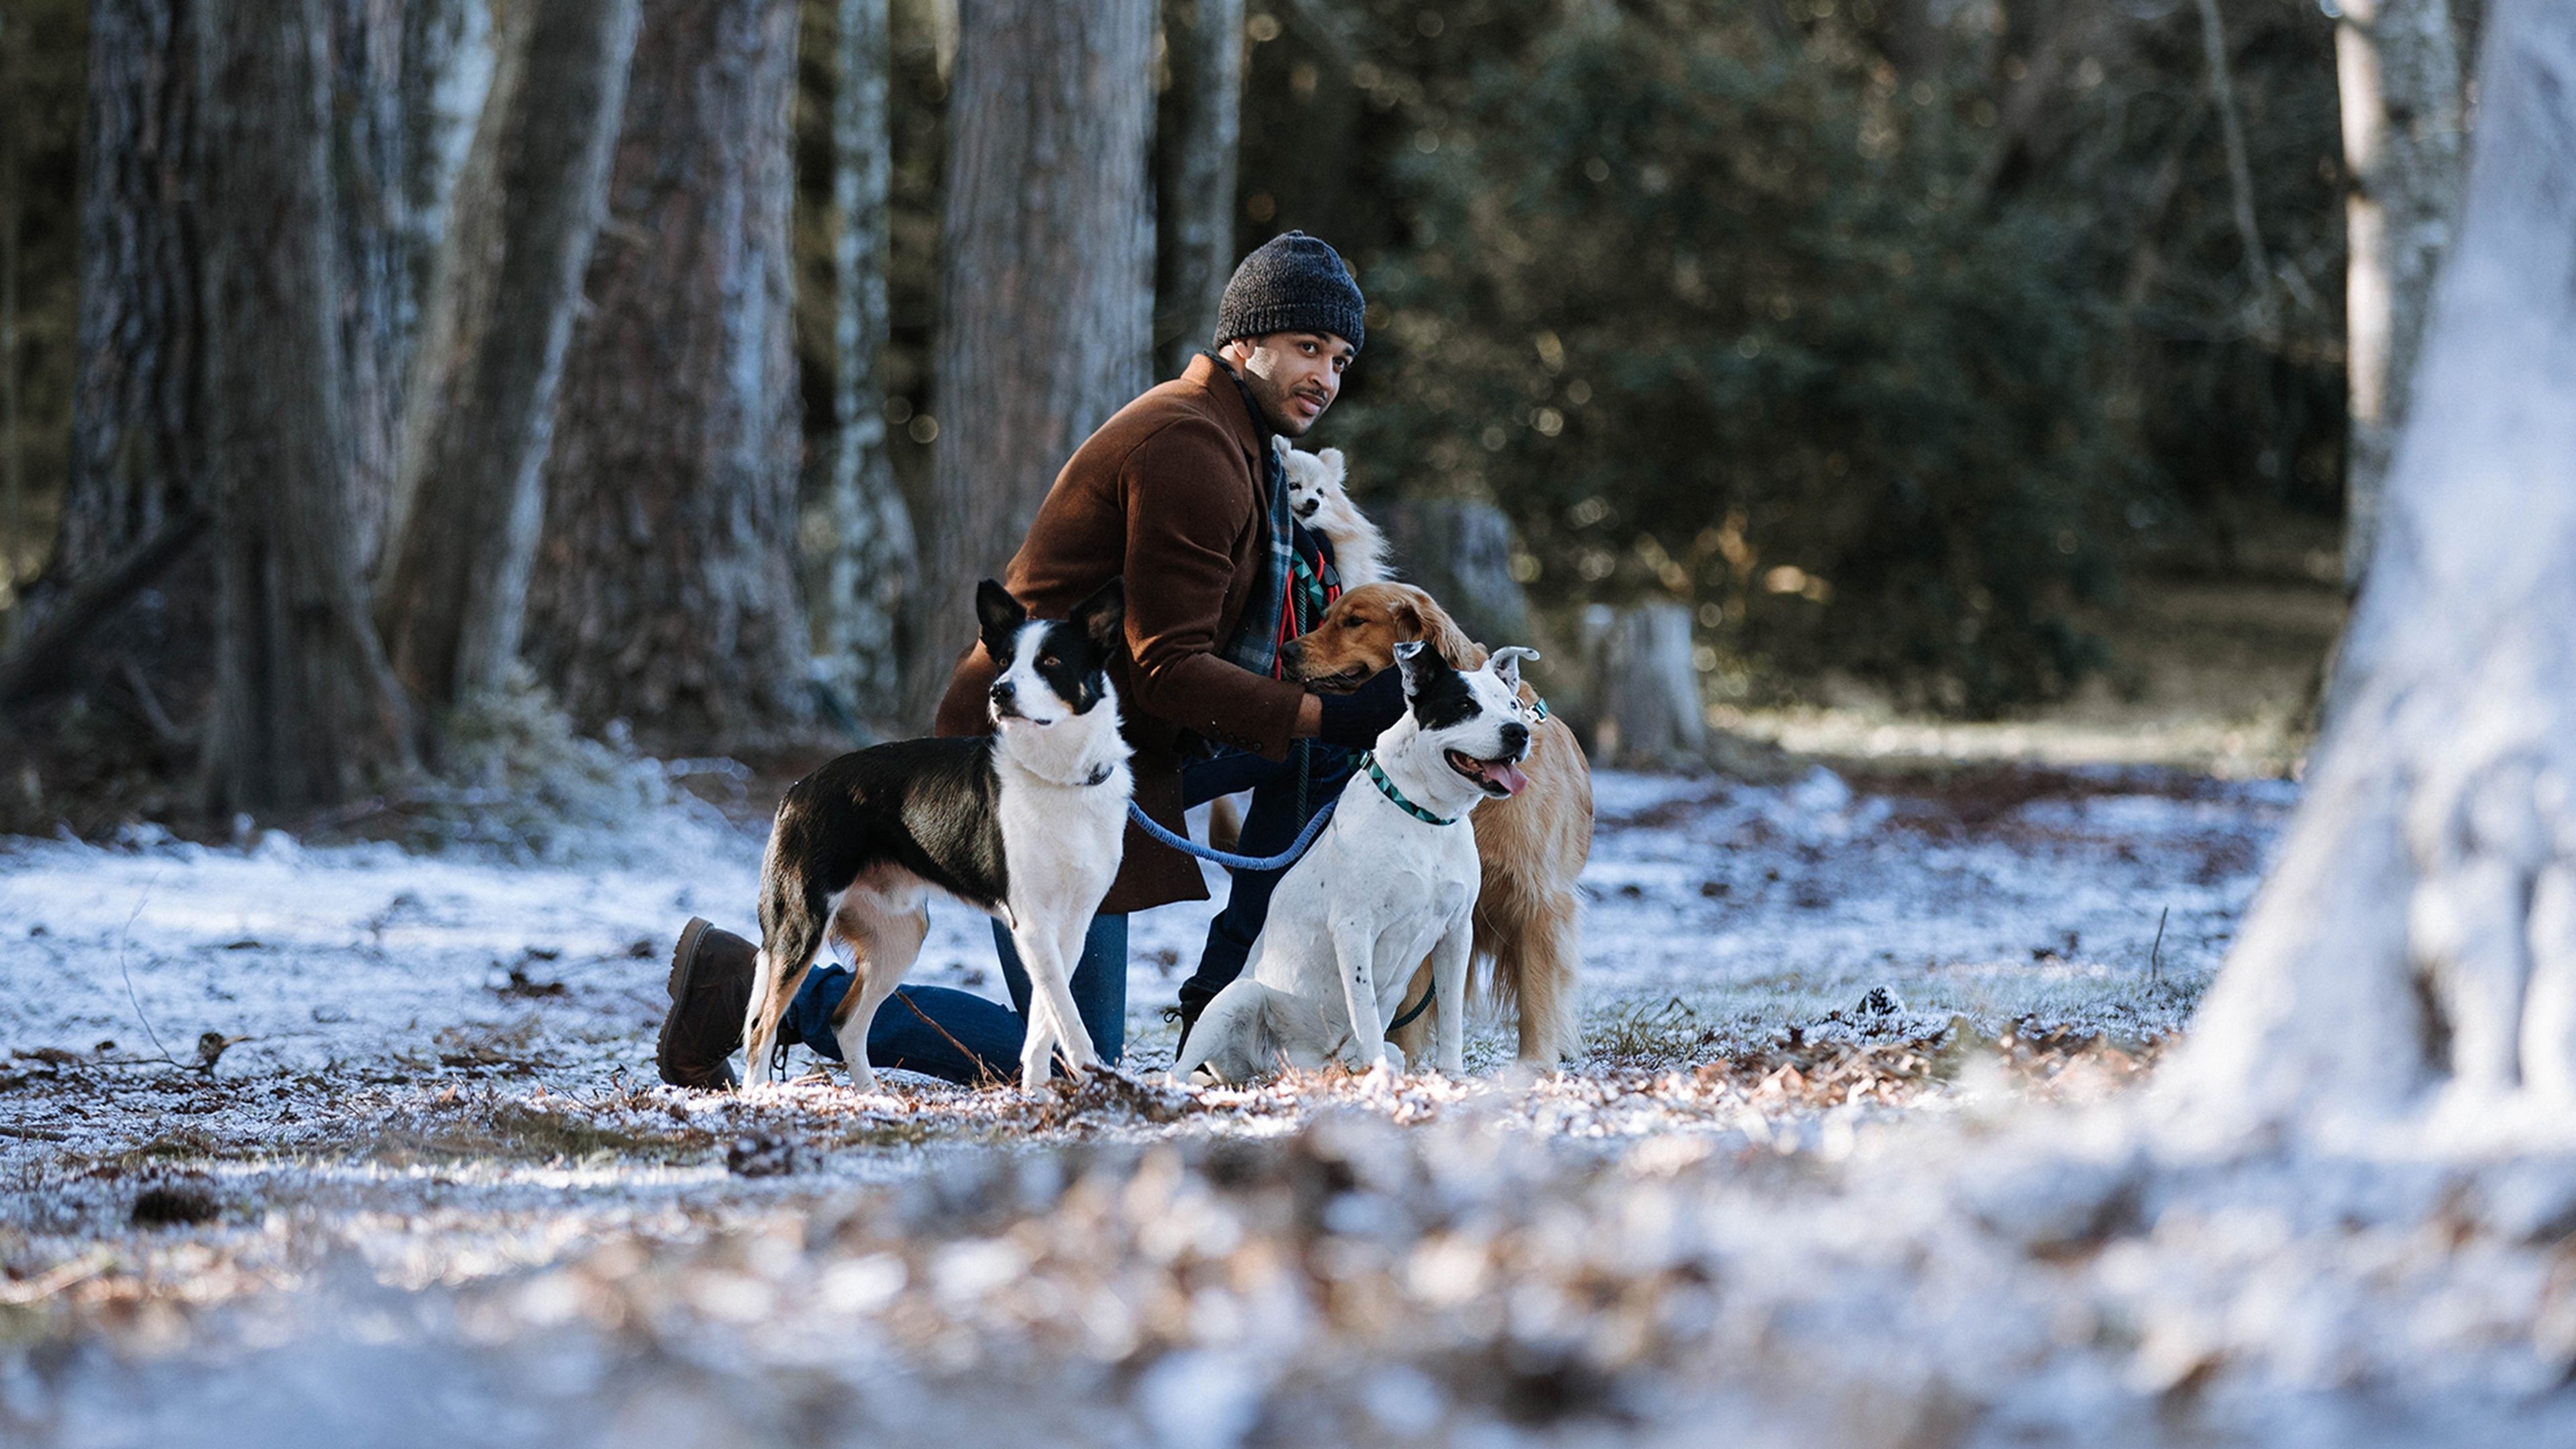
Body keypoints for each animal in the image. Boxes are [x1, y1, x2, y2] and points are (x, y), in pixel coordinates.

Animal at [731, 572, 1123, 1083]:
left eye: (1051, 661)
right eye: (1004, 661)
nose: (999, 692)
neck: (1059, 778)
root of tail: (797, 790)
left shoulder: (1072, 925)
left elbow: (1044, 1021)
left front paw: (1039, 1093)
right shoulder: (1033, 923)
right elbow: (1066, 1015)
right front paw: (1092, 1075)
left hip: (901, 936)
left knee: (845, 1024)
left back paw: (874, 1096)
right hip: (802, 925)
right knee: (763, 1027)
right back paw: (761, 1095)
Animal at [1179, 637, 1535, 1077]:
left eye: (1513, 705)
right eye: (1464, 705)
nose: (1518, 732)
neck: (1425, 816)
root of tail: (1294, 1065)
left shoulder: (1456, 933)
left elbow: (1451, 1015)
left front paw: (1451, 1076)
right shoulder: (1354, 930)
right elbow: (1365, 1010)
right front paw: (1379, 1078)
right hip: (1237, 999)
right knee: (1184, 1068)